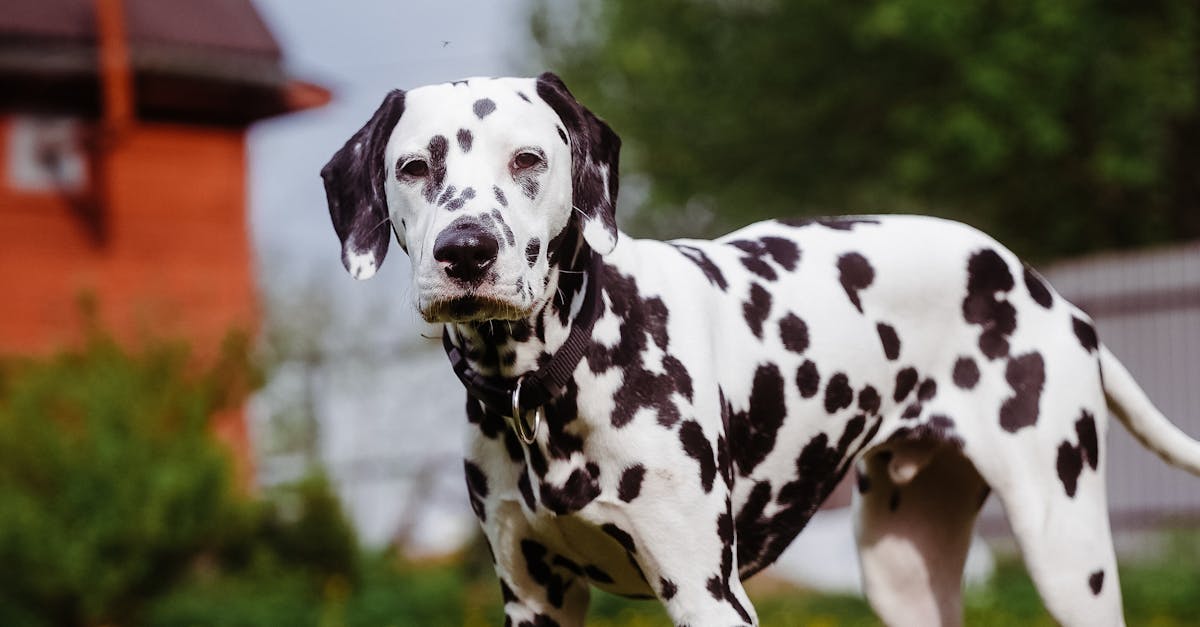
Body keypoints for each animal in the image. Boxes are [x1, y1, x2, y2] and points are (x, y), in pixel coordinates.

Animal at [320, 73, 1200, 627]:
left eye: (528, 158)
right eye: (415, 166)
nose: (465, 252)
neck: (553, 377)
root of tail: (1039, 285)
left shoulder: (708, 594)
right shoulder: (534, 598)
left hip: (1068, 556)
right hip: (903, 573)